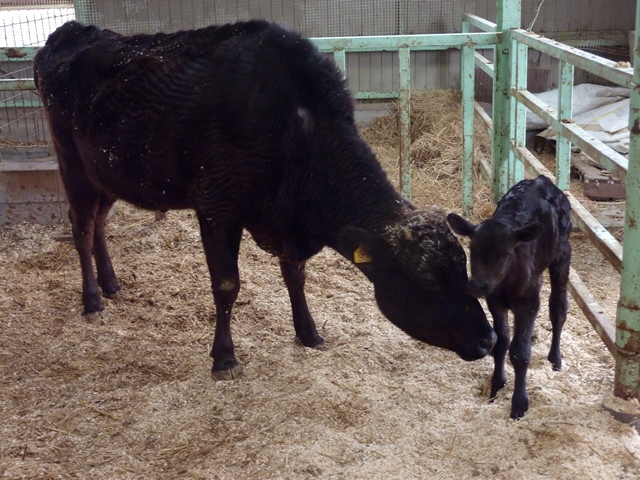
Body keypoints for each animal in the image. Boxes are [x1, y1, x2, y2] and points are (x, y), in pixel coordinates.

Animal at [32, 19, 498, 378]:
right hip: (72, 163)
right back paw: (92, 299)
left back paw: (111, 285)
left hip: (106, 175)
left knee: (99, 224)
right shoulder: (217, 206)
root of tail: (72, 31)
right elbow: (226, 284)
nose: (489, 338)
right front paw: (224, 357)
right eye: (428, 280)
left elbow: (296, 276)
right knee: (82, 227)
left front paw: (308, 333)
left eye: (462, 266)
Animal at [448, 174, 572, 418]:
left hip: (562, 254)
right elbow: (501, 340)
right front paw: (496, 386)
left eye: (505, 253)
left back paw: (555, 359)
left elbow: (520, 352)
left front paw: (519, 404)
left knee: (558, 308)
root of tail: (541, 179)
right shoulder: (494, 300)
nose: (477, 285)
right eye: (472, 249)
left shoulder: (529, 302)